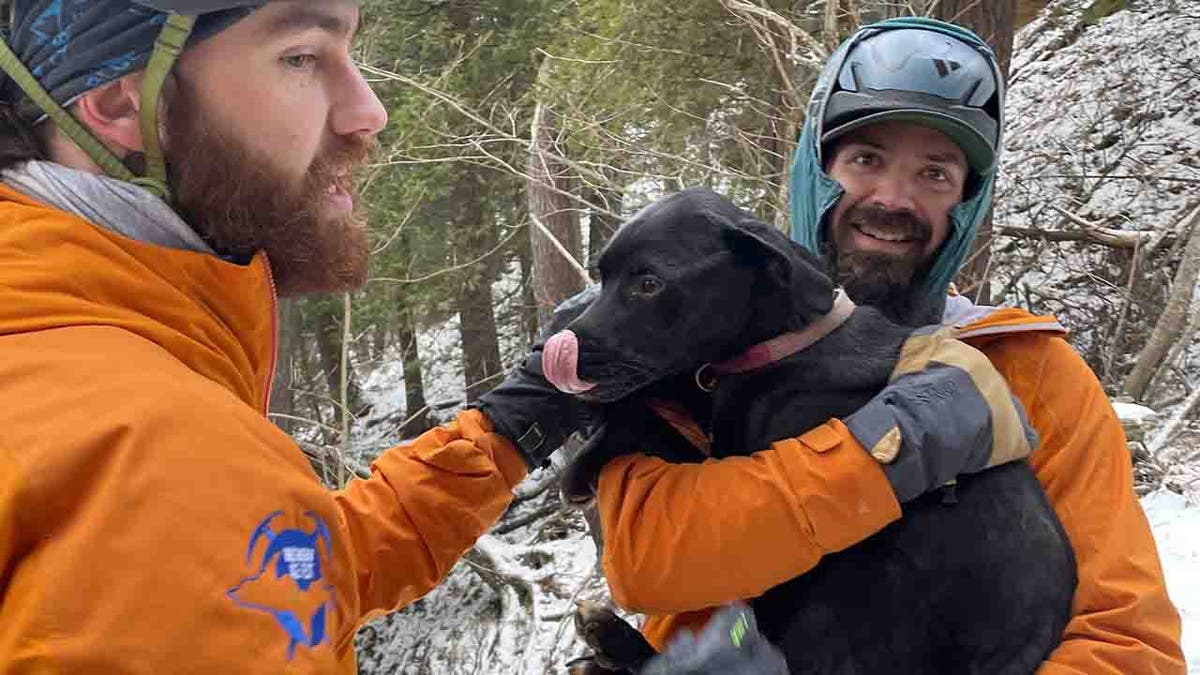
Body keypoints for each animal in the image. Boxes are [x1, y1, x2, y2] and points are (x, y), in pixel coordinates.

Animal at [549, 187, 1075, 672]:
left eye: (649, 282)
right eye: (603, 276)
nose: (557, 345)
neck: (787, 343)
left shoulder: (730, 457)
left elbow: (662, 426)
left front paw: (588, 458)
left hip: (835, 608)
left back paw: (613, 641)